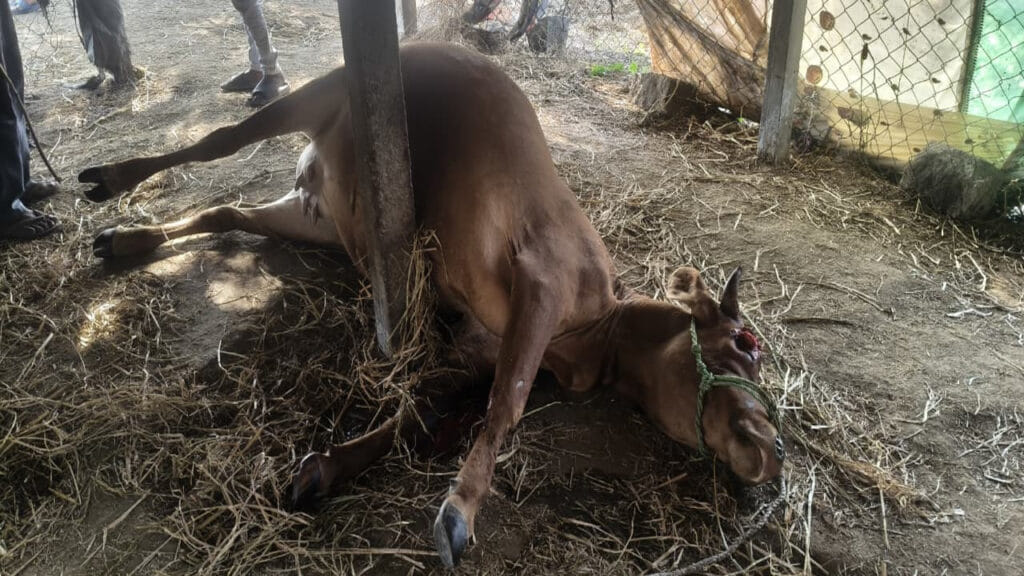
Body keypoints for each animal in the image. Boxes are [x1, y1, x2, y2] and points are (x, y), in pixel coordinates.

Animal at [79, 42, 784, 568]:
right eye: (746, 344)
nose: (776, 450)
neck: (595, 333)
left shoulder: (478, 347)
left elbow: (422, 412)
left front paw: (329, 466)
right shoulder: (544, 278)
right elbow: (506, 404)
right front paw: (458, 512)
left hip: (318, 219)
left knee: (228, 210)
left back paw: (128, 238)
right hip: (324, 92)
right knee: (221, 140)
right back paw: (109, 179)